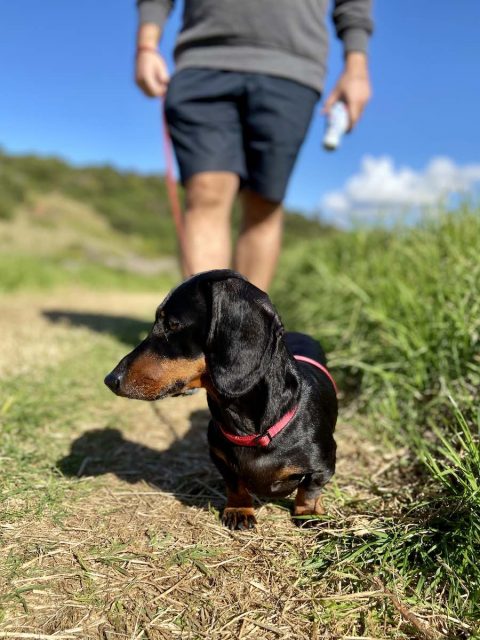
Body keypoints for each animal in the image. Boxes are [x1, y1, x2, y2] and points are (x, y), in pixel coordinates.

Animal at [105, 270, 338, 528]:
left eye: (172, 324)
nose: (110, 380)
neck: (252, 431)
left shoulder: (323, 465)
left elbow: (310, 489)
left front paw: (308, 513)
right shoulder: (220, 458)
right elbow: (235, 485)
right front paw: (239, 510)